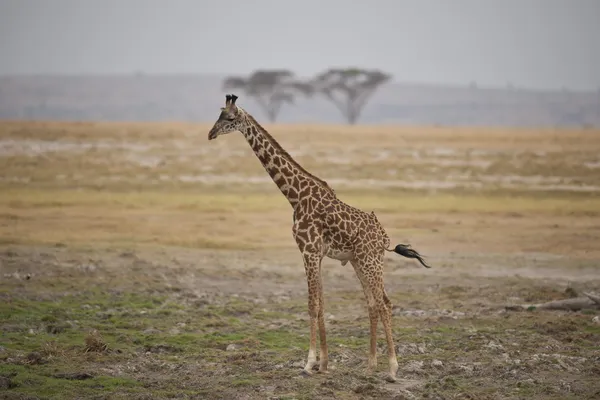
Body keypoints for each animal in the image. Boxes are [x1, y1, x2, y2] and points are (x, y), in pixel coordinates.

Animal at [207, 93, 432, 382]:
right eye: (219, 114)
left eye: (230, 118)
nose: (211, 133)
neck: (295, 196)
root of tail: (384, 238)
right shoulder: (317, 254)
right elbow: (322, 303)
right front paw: (324, 364)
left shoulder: (309, 251)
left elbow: (312, 304)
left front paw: (308, 363)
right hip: (359, 261)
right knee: (372, 303)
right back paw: (370, 365)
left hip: (371, 261)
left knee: (385, 303)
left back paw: (392, 369)